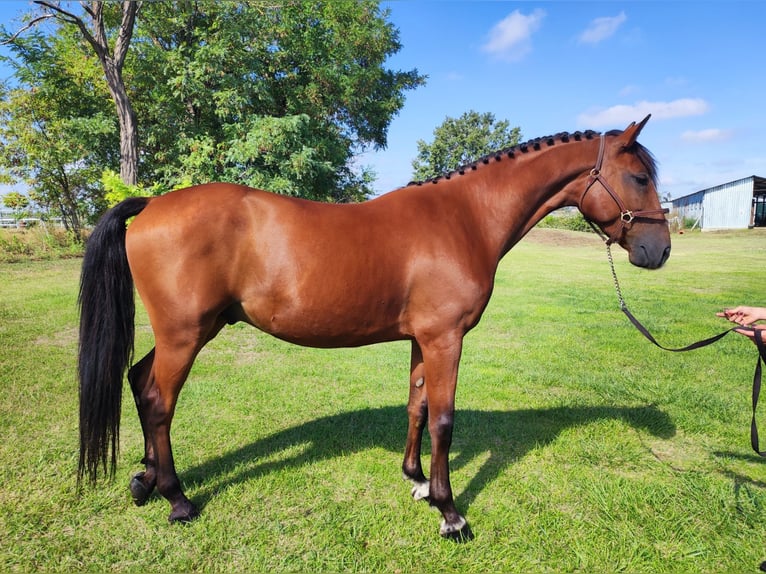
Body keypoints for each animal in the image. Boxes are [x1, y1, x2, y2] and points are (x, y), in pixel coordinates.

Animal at [79, 116, 672, 540]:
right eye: (640, 177)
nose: (659, 251)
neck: (464, 217)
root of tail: (152, 204)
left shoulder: (422, 339)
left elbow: (418, 406)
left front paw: (417, 482)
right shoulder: (445, 339)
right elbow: (444, 420)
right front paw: (451, 514)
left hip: (184, 333)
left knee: (138, 380)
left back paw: (144, 479)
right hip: (187, 335)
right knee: (159, 401)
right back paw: (176, 498)